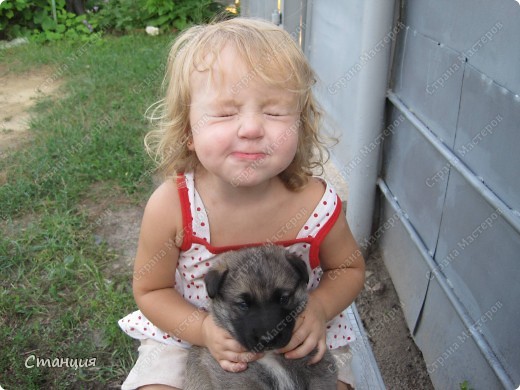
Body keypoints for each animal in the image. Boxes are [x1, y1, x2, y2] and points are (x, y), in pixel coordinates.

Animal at [183, 245, 338, 388]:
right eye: (243, 304)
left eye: (284, 299)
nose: (268, 339)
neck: (271, 355)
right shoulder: (243, 380)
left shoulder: (319, 370)